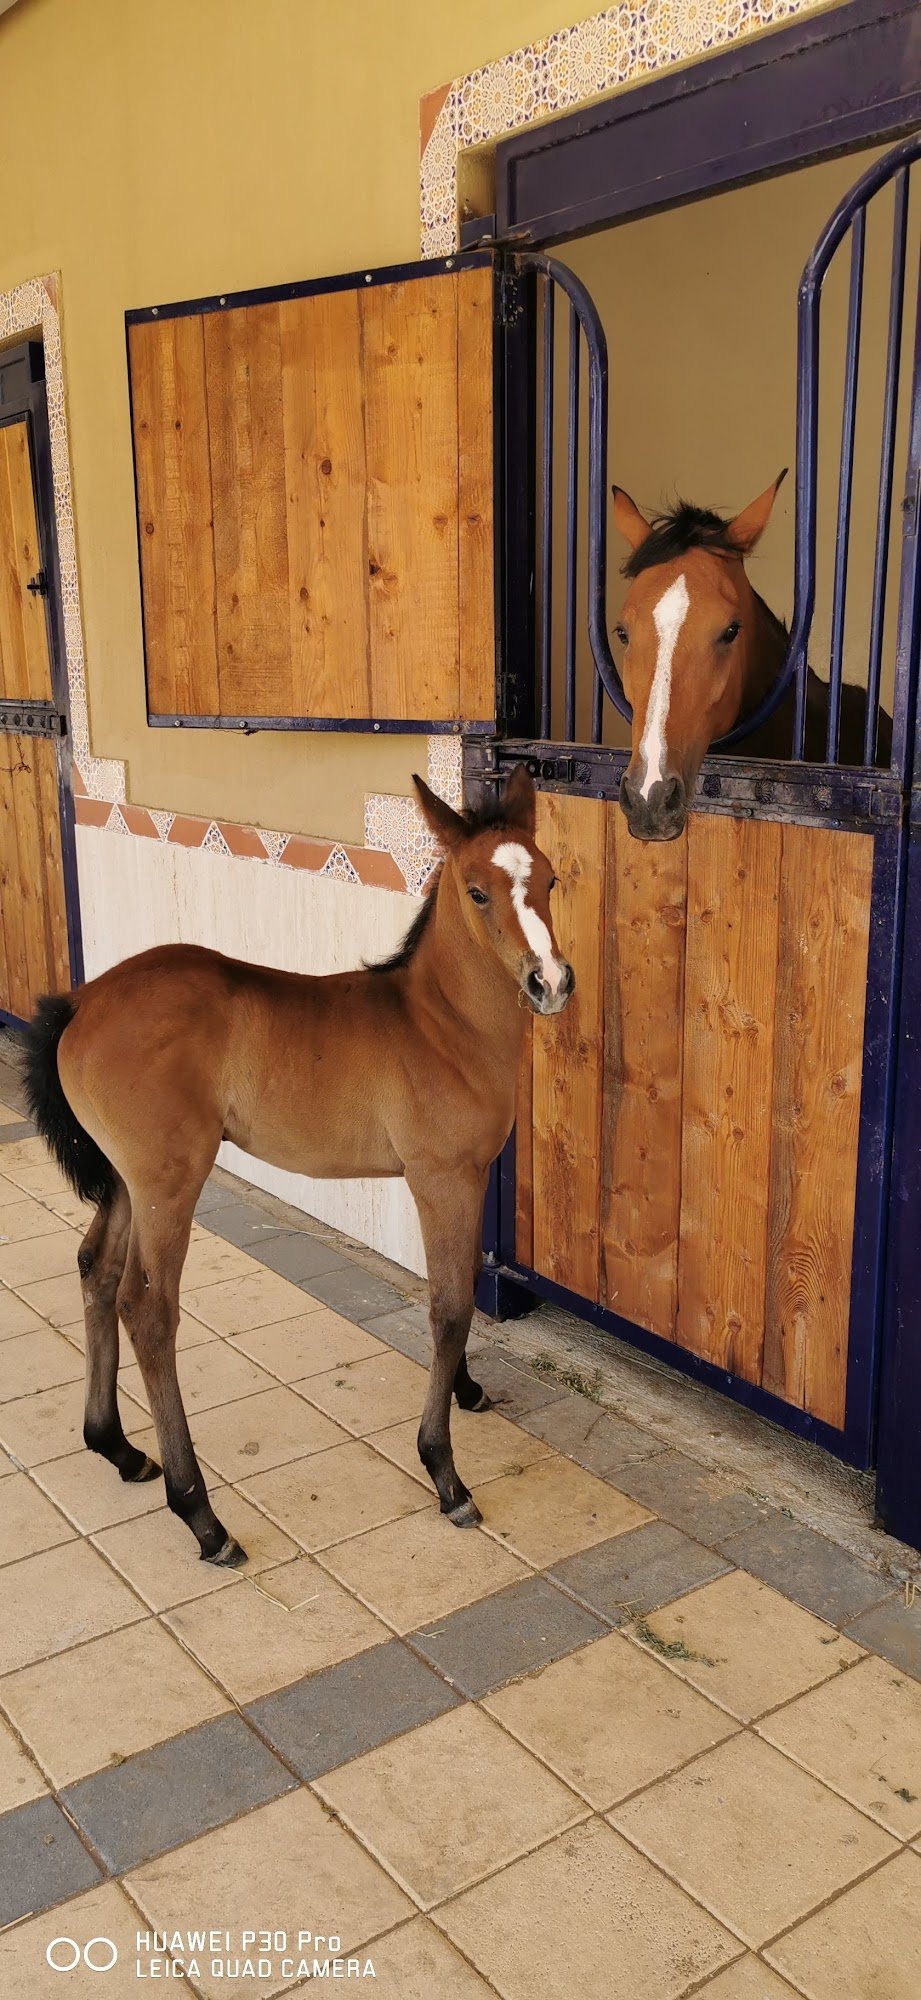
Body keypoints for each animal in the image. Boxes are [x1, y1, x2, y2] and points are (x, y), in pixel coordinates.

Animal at [22, 768, 573, 1565]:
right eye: (476, 891)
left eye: (552, 880)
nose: (550, 983)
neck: (438, 1024)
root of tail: (80, 1000)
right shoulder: (441, 1177)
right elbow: (447, 1305)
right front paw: (443, 1471)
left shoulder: (459, 1179)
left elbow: (462, 1281)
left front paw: (467, 1390)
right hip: (168, 1184)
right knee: (148, 1309)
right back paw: (201, 1514)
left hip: (126, 1180)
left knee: (96, 1272)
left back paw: (118, 1448)